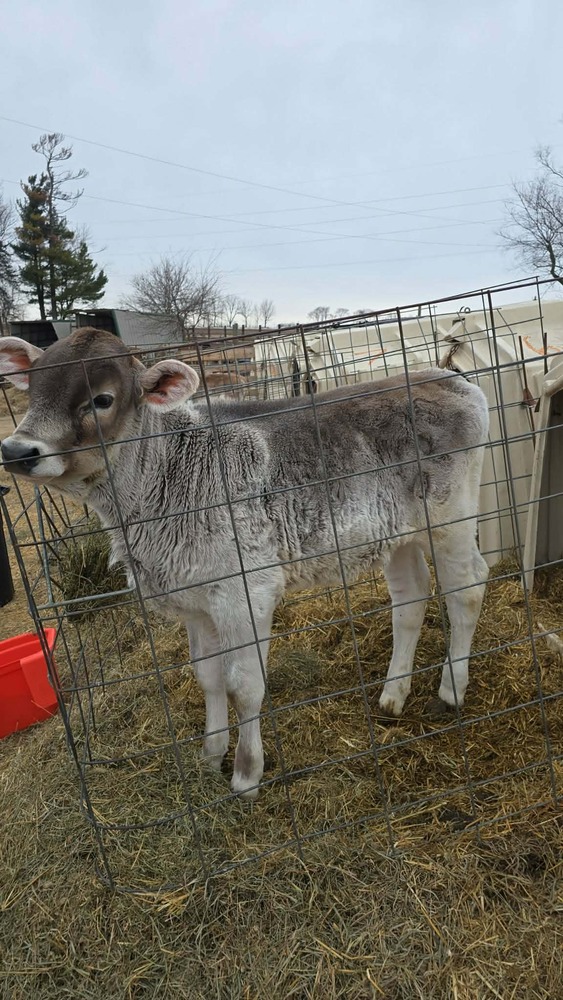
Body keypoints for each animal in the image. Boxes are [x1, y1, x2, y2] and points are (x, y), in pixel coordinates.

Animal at [0, 329, 489, 799]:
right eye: (35, 386)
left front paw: (246, 774)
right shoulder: (196, 599)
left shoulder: (246, 592)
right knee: (410, 598)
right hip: (395, 534)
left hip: (452, 519)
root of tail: (449, 380)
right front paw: (209, 756)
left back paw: (450, 689)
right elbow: (208, 677)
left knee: (468, 588)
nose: (16, 450)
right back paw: (392, 695)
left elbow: (245, 685)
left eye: (102, 399)